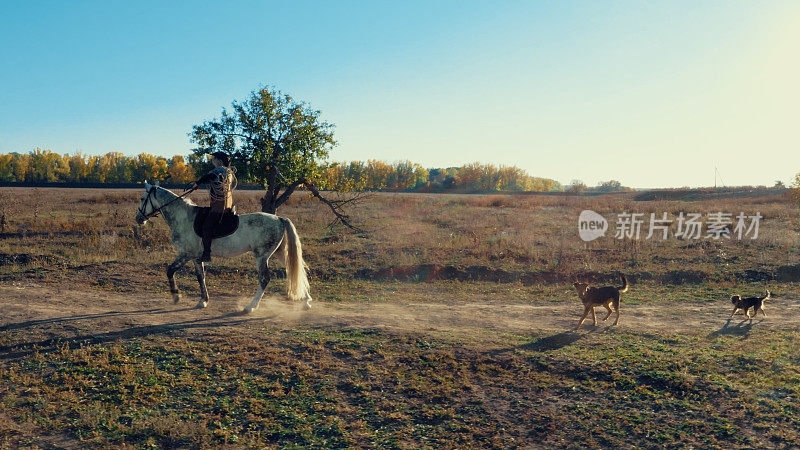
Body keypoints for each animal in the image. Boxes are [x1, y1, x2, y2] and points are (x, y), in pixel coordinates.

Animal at [134, 182, 312, 312]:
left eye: (142, 198)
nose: (138, 218)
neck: (183, 217)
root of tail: (280, 219)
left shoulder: (187, 254)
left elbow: (170, 270)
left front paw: (176, 296)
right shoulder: (196, 257)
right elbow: (201, 277)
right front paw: (203, 301)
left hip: (261, 256)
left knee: (264, 278)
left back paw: (251, 306)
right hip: (279, 253)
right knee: (296, 270)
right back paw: (306, 301)